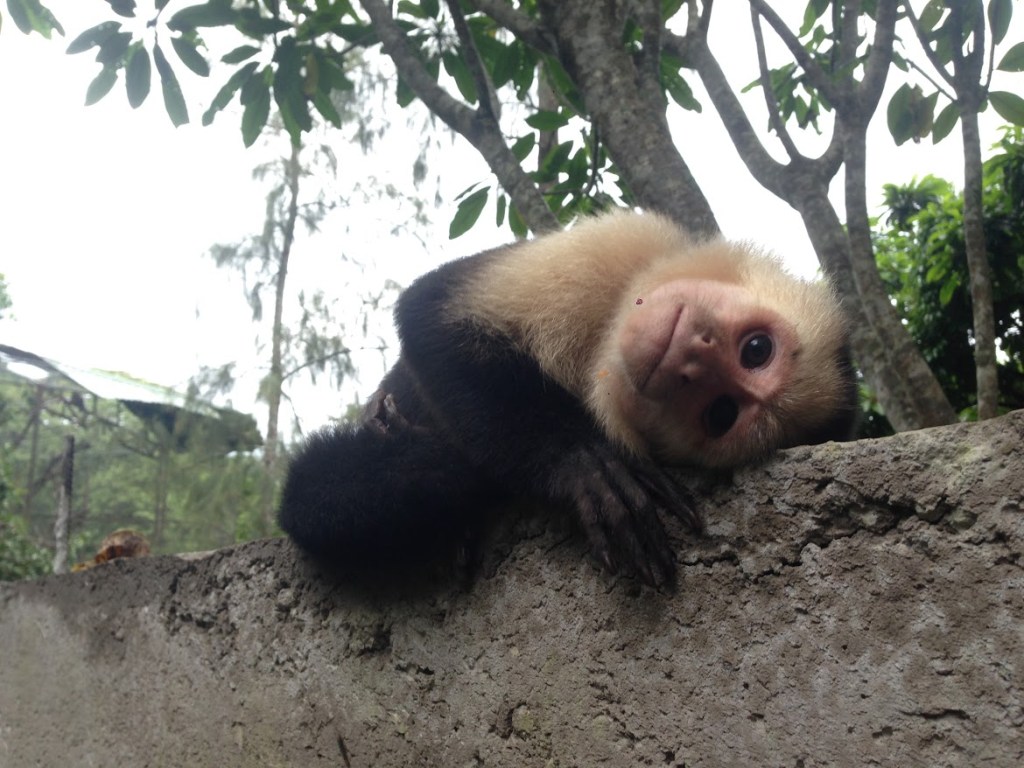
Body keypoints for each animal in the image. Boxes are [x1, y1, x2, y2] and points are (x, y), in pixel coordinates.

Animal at [278, 210, 857, 587]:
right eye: (757, 349)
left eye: (720, 413)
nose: (691, 363)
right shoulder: (635, 238)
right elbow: (432, 313)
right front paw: (579, 462)